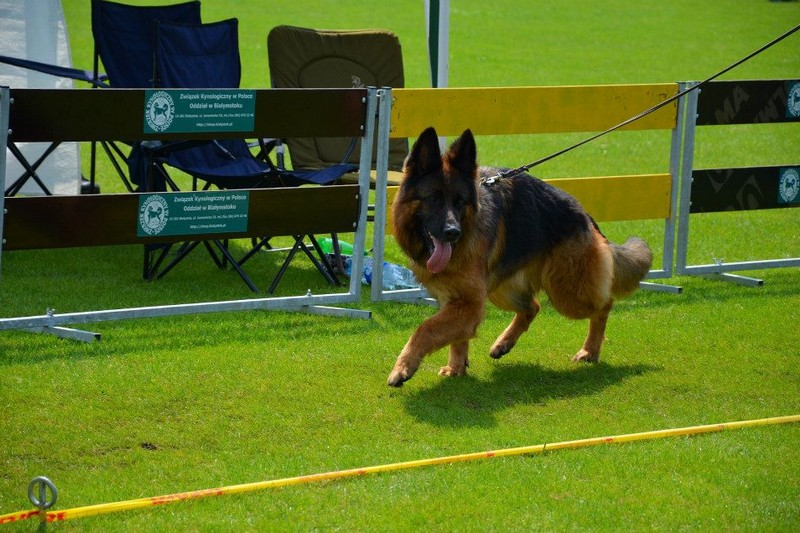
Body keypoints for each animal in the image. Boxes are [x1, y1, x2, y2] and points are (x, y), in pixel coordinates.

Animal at [387, 127, 652, 387]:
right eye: (433, 199)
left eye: (460, 202)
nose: (453, 233)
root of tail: (583, 215)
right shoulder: (458, 300)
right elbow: (457, 337)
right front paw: (456, 368)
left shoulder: (470, 303)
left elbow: (426, 328)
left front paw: (402, 368)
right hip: (503, 291)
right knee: (532, 307)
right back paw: (504, 343)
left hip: (566, 292)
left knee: (604, 304)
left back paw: (590, 351)